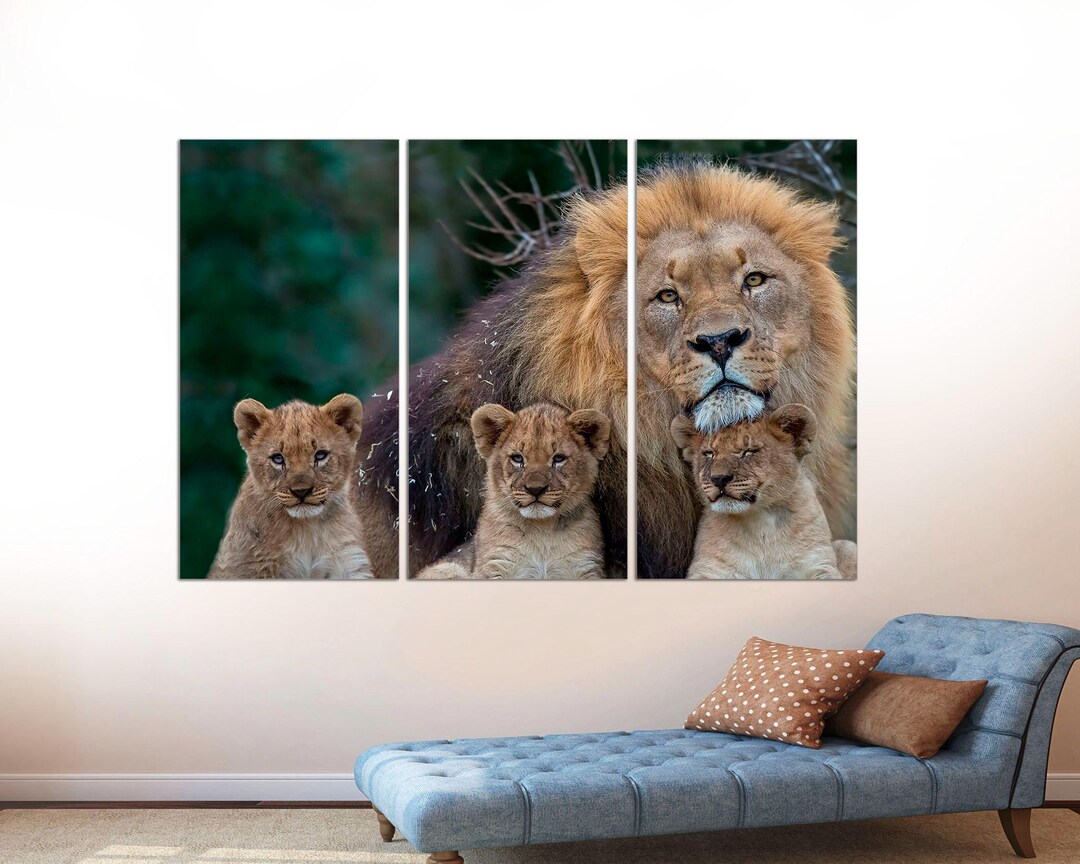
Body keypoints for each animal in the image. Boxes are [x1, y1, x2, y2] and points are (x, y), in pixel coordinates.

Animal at [415, 402, 611, 580]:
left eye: (558, 458)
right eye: (517, 458)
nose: (535, 489)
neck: (542, 530)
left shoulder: (586, 567)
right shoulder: (494, 566)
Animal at [671, 404, 856, 580]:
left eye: (748, 452)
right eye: (709, 454)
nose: (719, 478)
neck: (760, 523)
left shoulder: (818, 565)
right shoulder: (709, 570)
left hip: (846, 546)